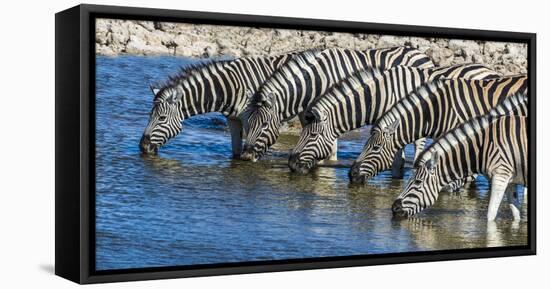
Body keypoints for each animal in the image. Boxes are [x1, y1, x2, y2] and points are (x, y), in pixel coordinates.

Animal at [140, 50, 300, 156]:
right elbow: (235, 151)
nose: (142, 147)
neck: (230, 88)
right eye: (149, 116)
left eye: (162, 118)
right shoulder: (233, 119)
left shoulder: (251, 120)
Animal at [242, 46, 436, 161]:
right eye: (248, 123)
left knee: (419, 142)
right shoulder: (309, 113)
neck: (315, 81)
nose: (245, 157)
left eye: (264, 124)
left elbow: (331, 143)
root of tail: (422, 54)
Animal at [392, 109, 532, 219]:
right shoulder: (511, 181)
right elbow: (516, 215)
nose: (394, 208)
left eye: (418, 182)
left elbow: (490, 215)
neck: (482, 147)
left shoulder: (500, 176)